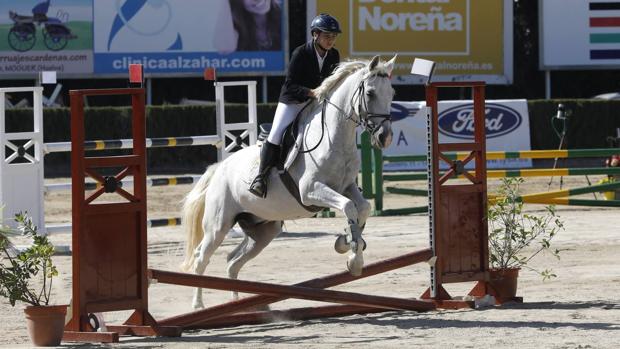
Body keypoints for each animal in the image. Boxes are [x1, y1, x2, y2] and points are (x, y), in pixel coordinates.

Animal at [180, 54, 392, 308]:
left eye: (392, 93)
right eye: (370, 93)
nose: (385, 137)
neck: (336, 137)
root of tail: (219, 168)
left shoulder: (347, 186)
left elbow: (363, 207)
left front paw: (348, 242)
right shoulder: (311, 191)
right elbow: (349, 207)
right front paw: (353, 258)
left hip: (263, 230)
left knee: (233, 261)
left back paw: (240, 305)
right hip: (218, 226)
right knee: (201, 258)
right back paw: (198, 305)